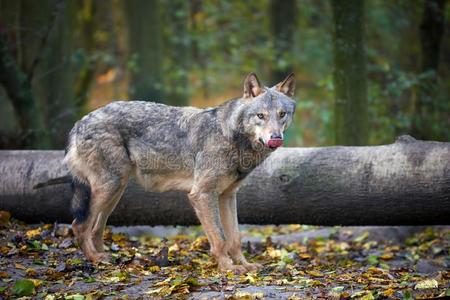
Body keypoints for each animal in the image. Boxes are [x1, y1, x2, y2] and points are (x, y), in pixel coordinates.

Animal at [63, 73, 296, 274]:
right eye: (260, 116)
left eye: (282, 114)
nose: (276, 138)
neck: (231, 137)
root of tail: (79, 123)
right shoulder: (202, 194)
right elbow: (219, 238)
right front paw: (228, 268)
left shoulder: (227, 196)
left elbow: (235, 238)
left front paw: (245, 265)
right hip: (109, 188)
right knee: (79, 226)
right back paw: (95, 259)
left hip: (115, 191)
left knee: (96, 229)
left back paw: (107, 259)